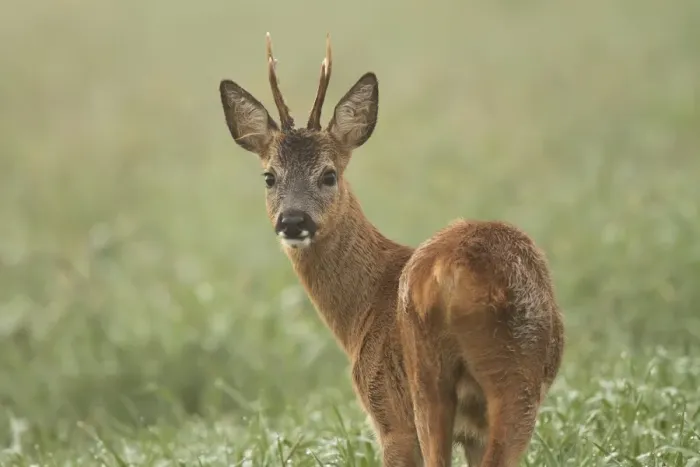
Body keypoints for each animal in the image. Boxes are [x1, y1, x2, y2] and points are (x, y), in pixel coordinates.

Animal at [218, 33, 565, 467]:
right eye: (269, 176)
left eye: (329, 174)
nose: (293, 221)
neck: (362, 311)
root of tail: (455, 272)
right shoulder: (470, 430)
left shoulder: (386, 410)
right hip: (513, 374)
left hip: (434, 380)